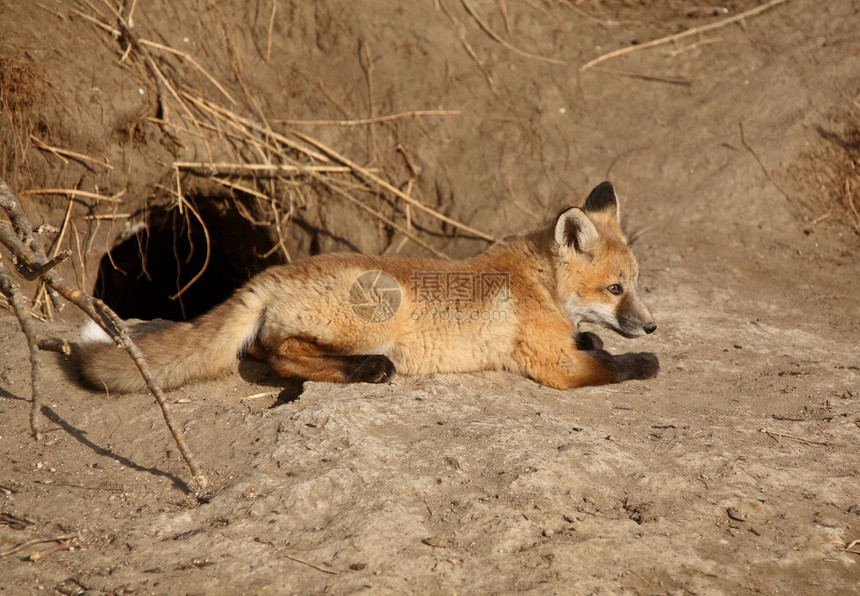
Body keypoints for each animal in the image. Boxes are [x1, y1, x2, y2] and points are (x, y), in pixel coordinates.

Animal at [79, 184, 660, 394]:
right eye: (614, 289)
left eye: (633, 284)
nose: (653, 325)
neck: (539, 283)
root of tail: (268, 274)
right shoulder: (553, 367)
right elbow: (614, 365)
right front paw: (644, 359)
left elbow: (591, 341)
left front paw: (595, 336)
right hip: (377, 313)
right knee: (280, 355)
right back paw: (369, 369)